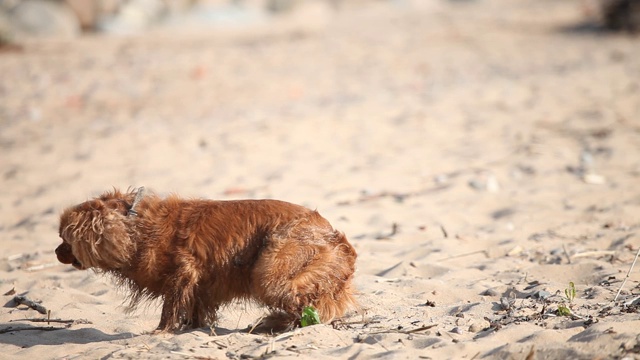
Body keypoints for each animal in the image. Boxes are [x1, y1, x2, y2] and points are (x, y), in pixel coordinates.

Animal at [54, 188, 358, 332]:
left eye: (65, 239)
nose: (56, 252)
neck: (137, 227)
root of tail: (336, 238)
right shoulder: (200, 283)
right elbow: (195, 309)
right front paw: (191, 329)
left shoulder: (182, 273)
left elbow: (169, 308)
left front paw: (161, 332)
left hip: (269, 272)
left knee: (306, 305)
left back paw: (277, 324)